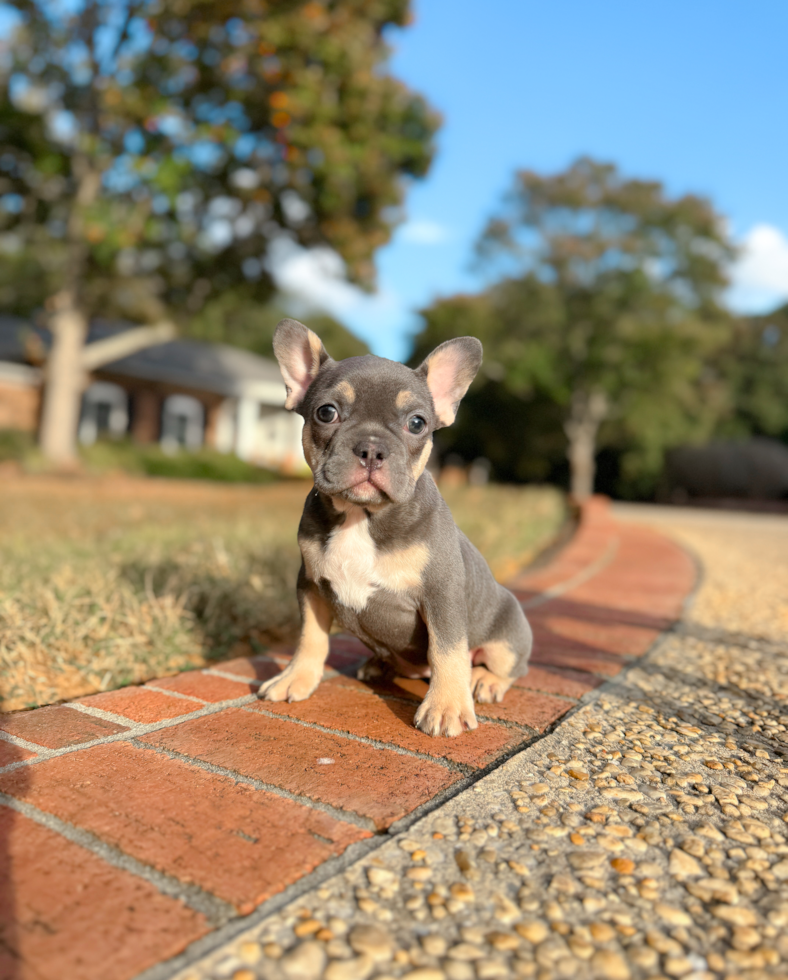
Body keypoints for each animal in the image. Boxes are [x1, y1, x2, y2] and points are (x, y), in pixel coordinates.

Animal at [262, 318, 532, 740]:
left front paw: (446, 707)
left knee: (509, 666)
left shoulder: (441, 593)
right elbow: (310, 638)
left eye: (417, 423)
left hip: (506, 635)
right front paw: (295, 678)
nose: (371, 448)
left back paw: (484, 681)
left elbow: (447, 650)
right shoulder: (310, 585)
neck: (362, 515)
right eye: (327, 412)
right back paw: (379, 665)